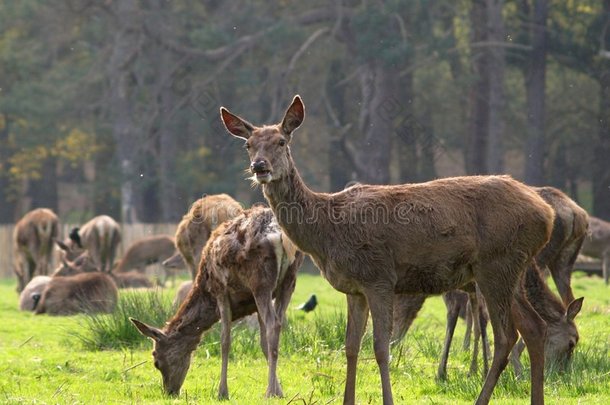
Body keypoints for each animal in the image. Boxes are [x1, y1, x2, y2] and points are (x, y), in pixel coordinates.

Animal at [132, 205, 304, 398]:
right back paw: (272, 390)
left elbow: (225, 340)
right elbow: (263, 343)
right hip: (289, 280)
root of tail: (278, 234)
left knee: (273, 324)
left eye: (156, 360)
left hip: (260, 281)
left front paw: (222, 392)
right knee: (278, 323)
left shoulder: (220, 290)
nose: (170, 391)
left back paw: (267, 393)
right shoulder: (253, 302)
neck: (207, 295)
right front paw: (280, 391)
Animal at [221, 95, 552, 404]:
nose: (259, 167)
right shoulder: (354, 288)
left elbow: (380, 347)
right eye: (248, 145)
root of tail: (546, 213)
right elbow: (350, 347)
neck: (328, 231)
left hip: (496, 263)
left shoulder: (378, 276)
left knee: (506, 336)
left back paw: (482, 399)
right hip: (512, 269)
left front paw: (387, 399)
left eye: (281, 141)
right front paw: (348, 400)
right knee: (535, 328)